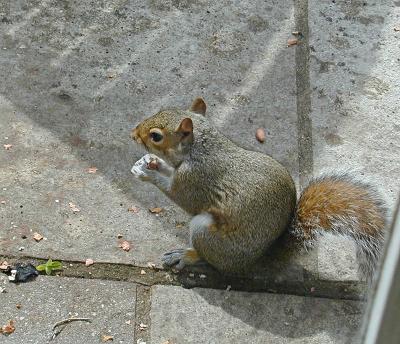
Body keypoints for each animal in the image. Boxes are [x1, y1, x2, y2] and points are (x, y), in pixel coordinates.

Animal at [131, 97, 388, 280]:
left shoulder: (196, 180)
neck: (199, 149)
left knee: (207, 257)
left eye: (156, 136)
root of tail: (254, 262)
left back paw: (185, 255)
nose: (133, 134)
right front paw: (152, 162)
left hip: (206, 233)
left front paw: (148, 173)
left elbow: (181, 197)